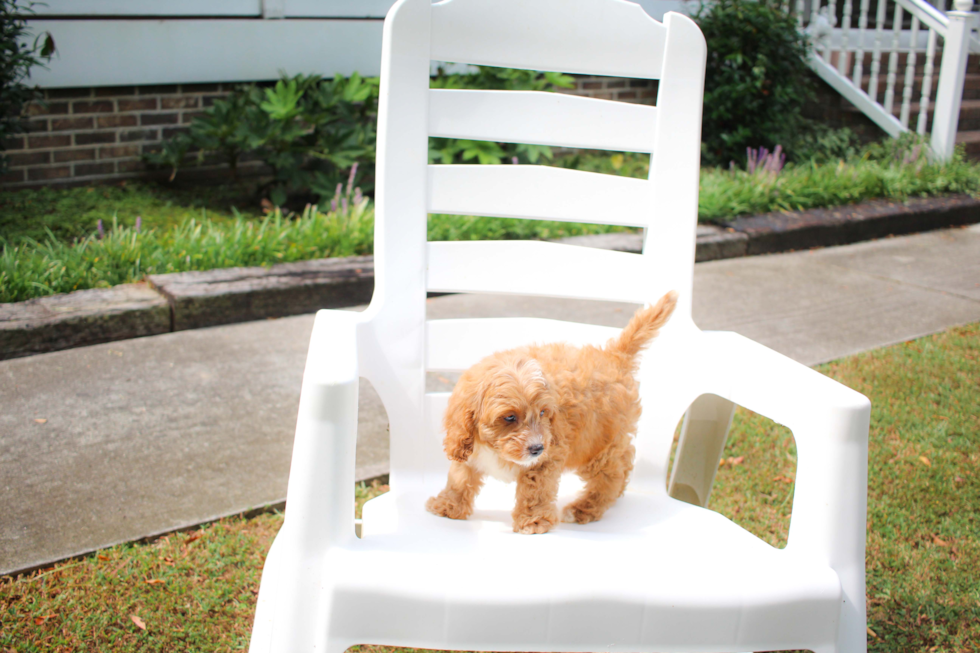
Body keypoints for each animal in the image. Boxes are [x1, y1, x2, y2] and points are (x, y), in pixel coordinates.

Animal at [424, 290, 676, 528]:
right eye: (509, 417)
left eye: (543, 413)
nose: (537, 448)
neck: (496, 449)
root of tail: (613, 356)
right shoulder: (466, 445)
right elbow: (460, 478)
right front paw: (448, 506)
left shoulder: (548, 455)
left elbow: (535, 491)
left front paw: (533, 521)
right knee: (623, 465)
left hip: (599, 443)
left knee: (610, 475)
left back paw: (584, 509)